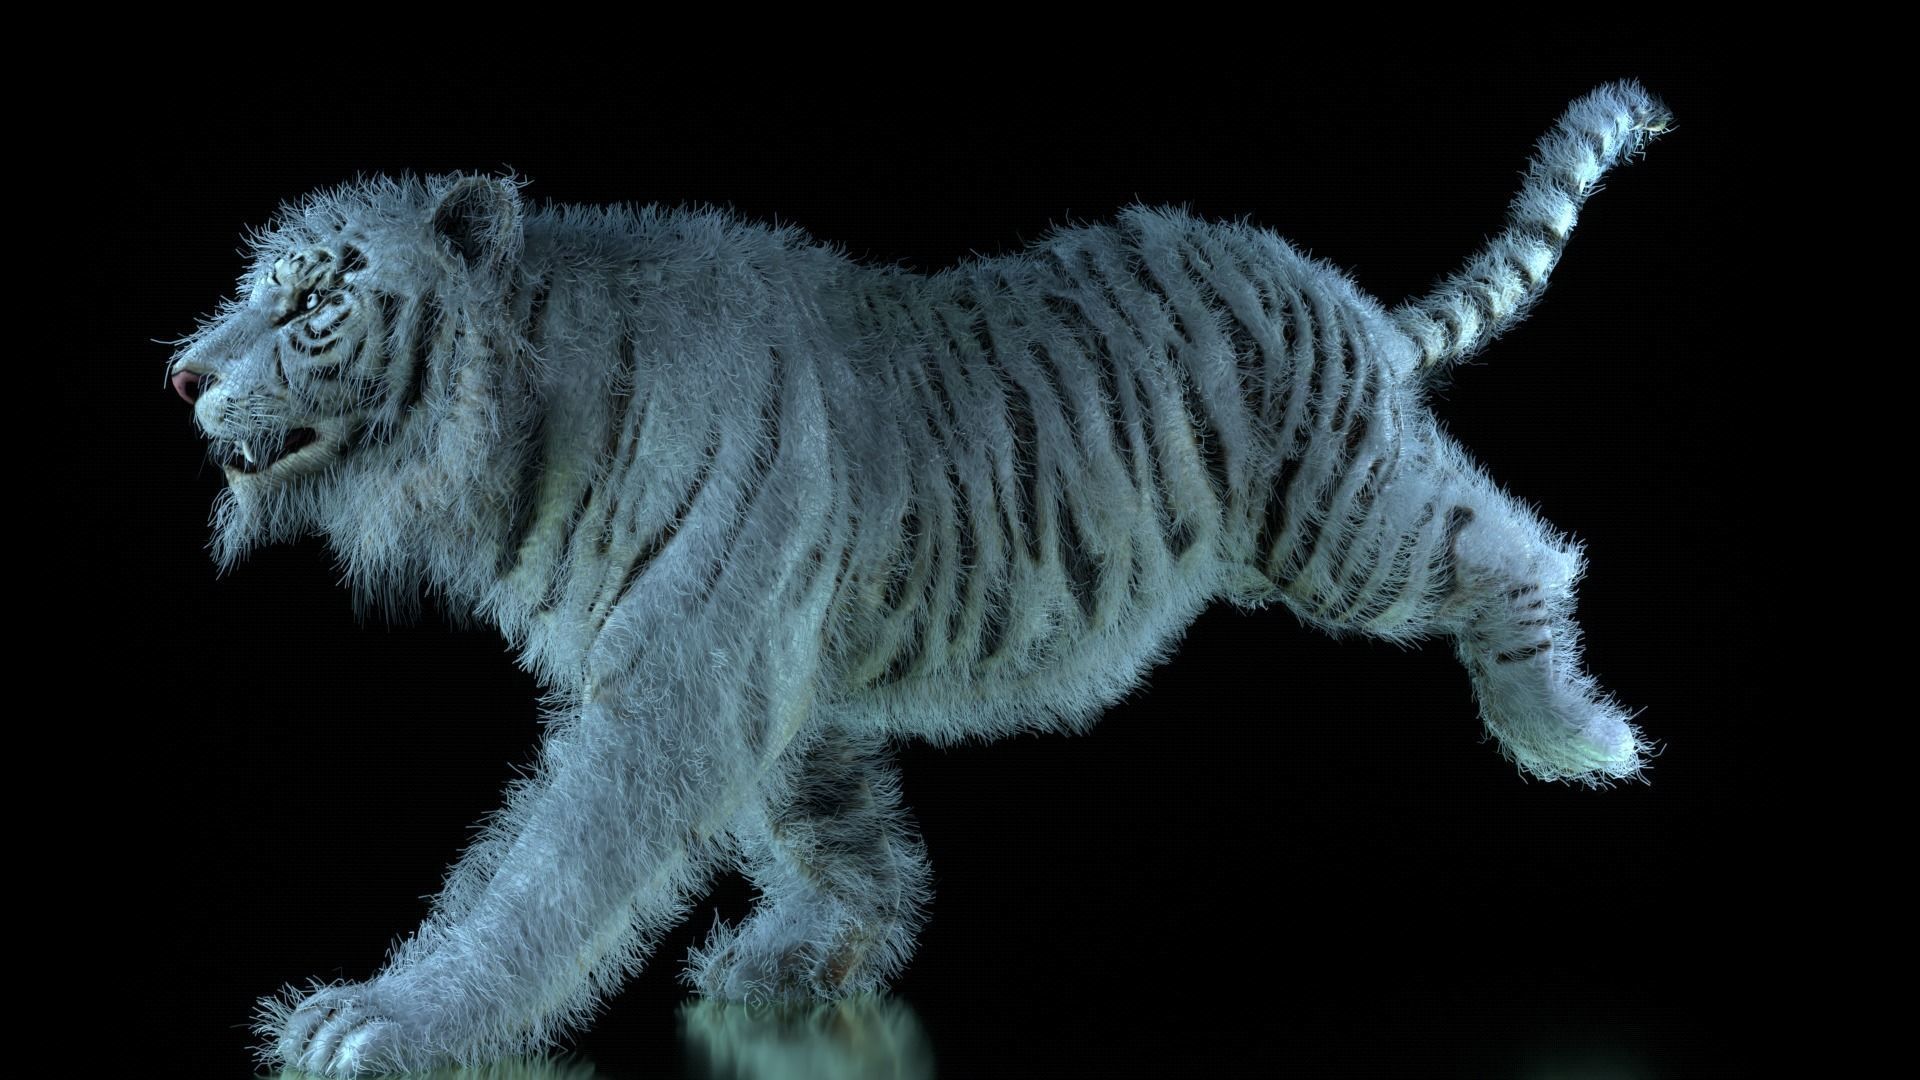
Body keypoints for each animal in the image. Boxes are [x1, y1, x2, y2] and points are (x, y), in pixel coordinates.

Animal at [167, 81, 1669, 1076]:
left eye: (316, 301)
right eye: (251, 288)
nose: (180, 373)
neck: (515, 432)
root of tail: (1335, 291)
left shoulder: (680, 683)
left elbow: (543, 874)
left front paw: (389, 1017)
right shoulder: (768, 675)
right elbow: (840, 835)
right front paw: (797, 961)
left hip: (1347, 524)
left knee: (1517, 547)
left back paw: (1572, 735)